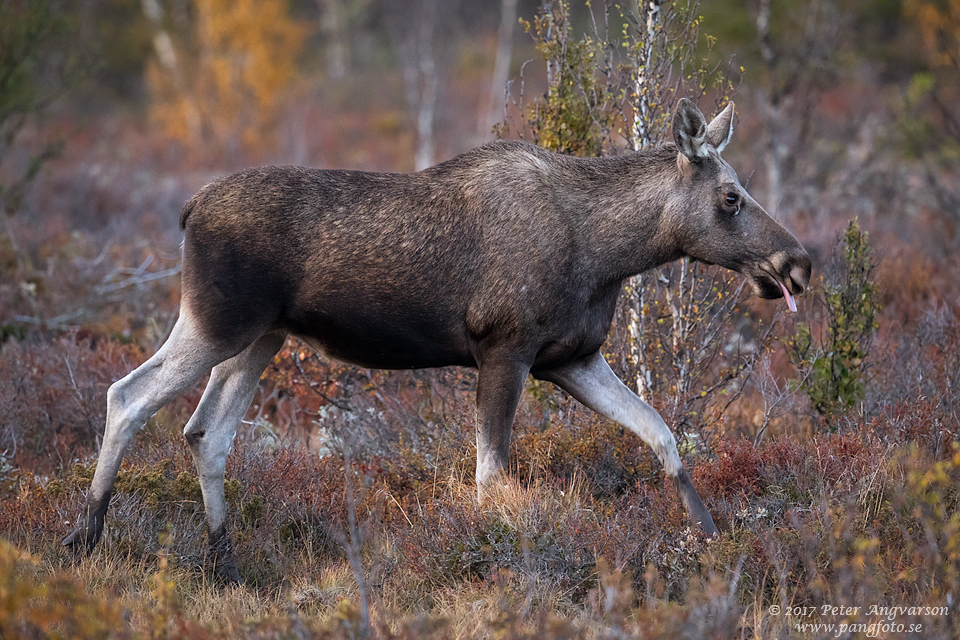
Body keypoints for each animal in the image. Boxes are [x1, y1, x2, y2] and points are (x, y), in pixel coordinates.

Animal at [63, 99, 808, 580]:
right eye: (732, 197)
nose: (797, 262)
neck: (609, 252)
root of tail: (189, 209)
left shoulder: (572, 359)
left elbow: (662, 435)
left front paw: (712, 539)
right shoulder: (504, 349)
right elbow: (491, 476)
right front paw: (483, 560)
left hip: (261, 338)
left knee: (206, 431)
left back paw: (225, 563)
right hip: (216, 322)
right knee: (127, 396)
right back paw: (84, 538)